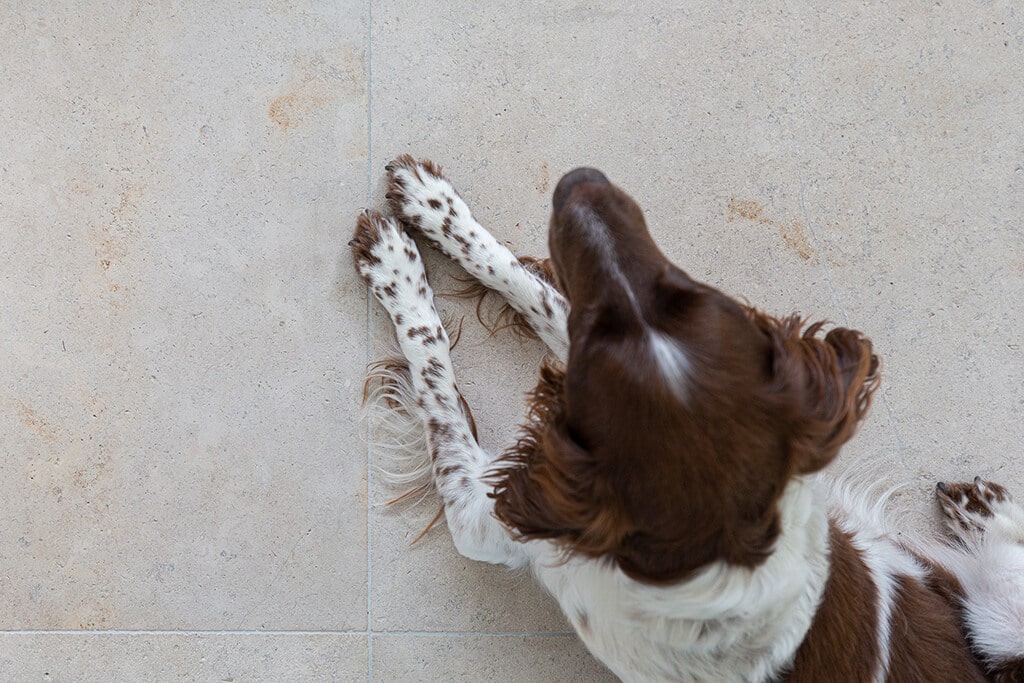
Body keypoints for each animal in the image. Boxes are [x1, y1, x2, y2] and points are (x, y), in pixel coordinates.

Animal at [349, 157, 1024, 682]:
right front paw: (435, 209)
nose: (582, 182)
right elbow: (533, 289)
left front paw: (397, 272)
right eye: (683, 290)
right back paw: (982, 508)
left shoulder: (491, 519)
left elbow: (435, 379)